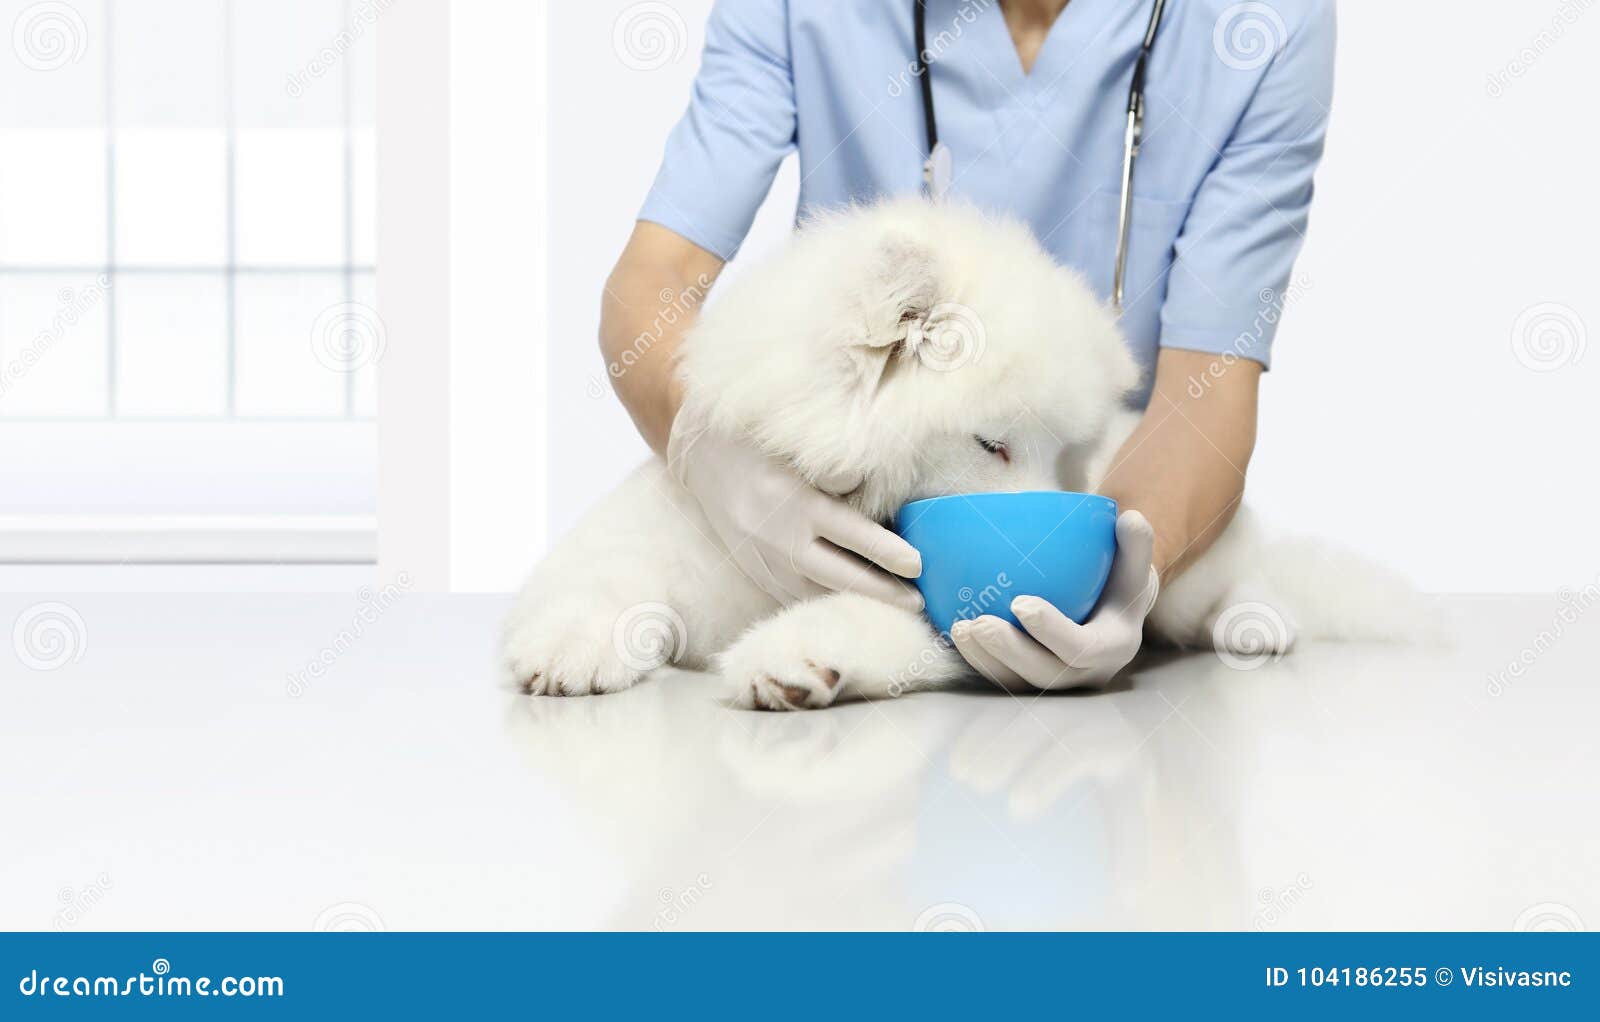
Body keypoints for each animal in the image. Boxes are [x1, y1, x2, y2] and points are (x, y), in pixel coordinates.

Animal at [505, 200, 1408, 710]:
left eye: (1069, 459)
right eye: (993, 444)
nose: (1068, 518)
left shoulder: (952, 623)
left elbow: (865, 620)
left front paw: (792, 658)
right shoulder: (680, 528)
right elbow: (608, 583)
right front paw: (565, 648)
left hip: (1191, 574)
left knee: (1236, 582)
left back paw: (1258, 623)